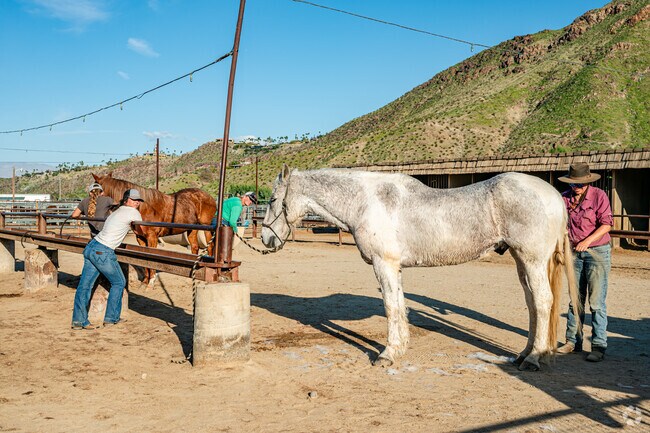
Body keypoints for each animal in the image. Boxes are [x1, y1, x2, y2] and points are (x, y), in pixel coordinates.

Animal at [262, 165, 580, 371]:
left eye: (273, 199)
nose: (266, 239)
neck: (365, 201)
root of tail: (553, 194)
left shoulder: (384, 264)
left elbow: (391, 307)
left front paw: (387, 354)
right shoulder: (394, 268)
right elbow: (400, 305)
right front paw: (400, 347)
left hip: (532, 259)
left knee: (543, 302)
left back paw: (534, 358)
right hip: (520, 261)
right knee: (532, 305)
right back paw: (523, 354)